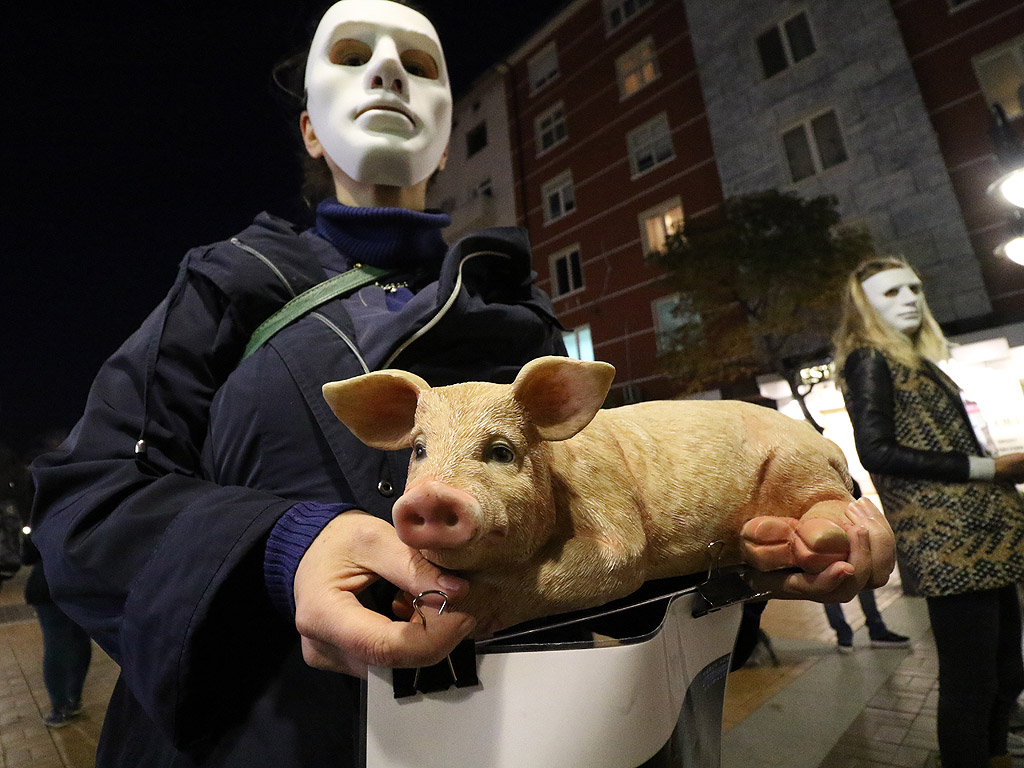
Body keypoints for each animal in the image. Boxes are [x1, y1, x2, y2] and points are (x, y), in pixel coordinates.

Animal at [323, 358, 892, 634]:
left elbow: (616, 560)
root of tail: (827, 443)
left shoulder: (606, 496)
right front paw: (402, 604)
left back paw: (823, 536)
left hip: (801, 469)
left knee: (838, 510)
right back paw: (770, 539)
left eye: (502, 451)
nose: (429, 498)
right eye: (419, 450)